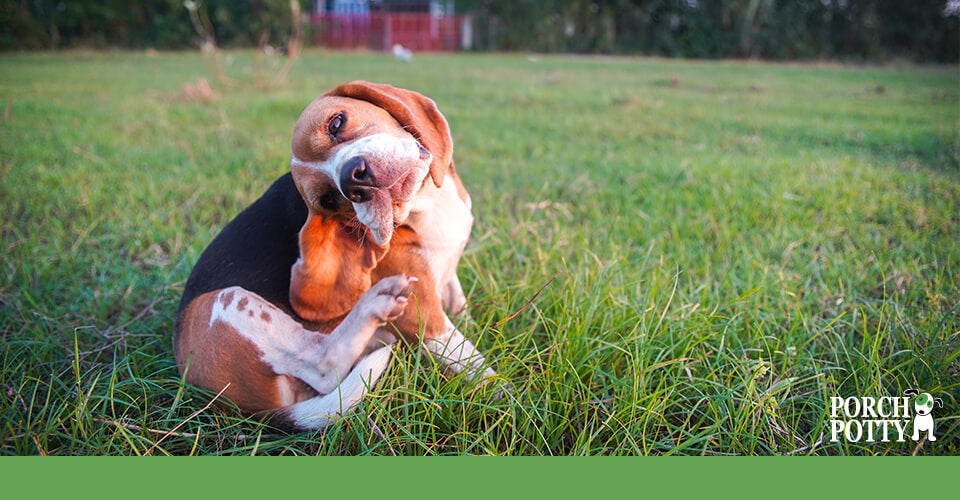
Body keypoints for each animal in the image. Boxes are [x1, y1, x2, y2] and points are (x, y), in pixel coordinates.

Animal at [173, 81, 498, 430]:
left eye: (336, 123)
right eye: (329, 199)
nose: (354, 178)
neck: (426, 203)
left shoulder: (449, 277)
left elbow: (459, 303)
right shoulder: (424, 316)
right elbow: (476, 364)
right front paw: (509, 398)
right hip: (224, 303)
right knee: (324, 367)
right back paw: (374, 306)